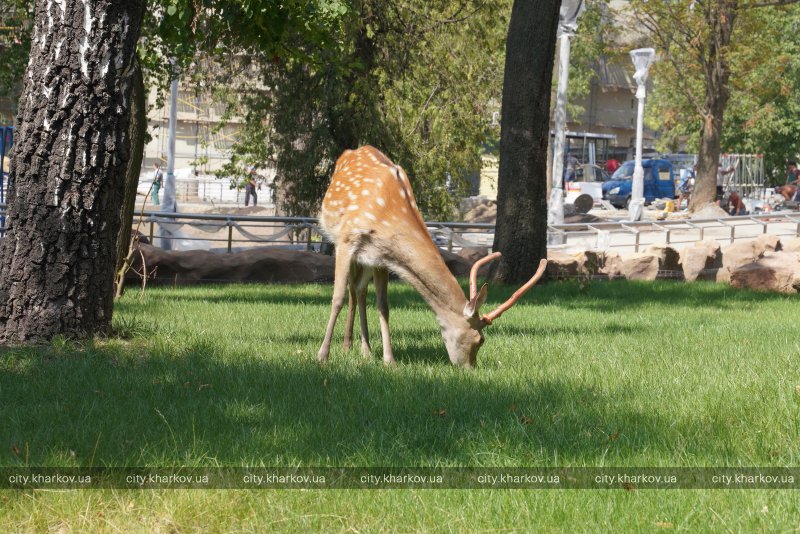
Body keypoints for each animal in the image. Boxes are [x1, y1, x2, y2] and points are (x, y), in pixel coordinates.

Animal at [316, 149, 548, 370]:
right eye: (480, 340)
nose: (470, 368)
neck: (386, 217)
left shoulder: (381, 257)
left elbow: (383, 307)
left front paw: (389, 360)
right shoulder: (346, 240)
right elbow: (337, 298)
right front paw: (322, 355)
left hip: (366, 260)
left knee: (359, 289)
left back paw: (363, 350)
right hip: (342, 242)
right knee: (351, 290)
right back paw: (346, 347)